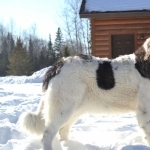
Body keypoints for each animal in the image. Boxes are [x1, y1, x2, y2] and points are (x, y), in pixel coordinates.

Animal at [19, 37, 150, 150]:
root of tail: (58, 65)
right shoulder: (145, 110)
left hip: (74, 109)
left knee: (63, 130)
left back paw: (68, 145)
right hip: (63, 108)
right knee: (47, 134)